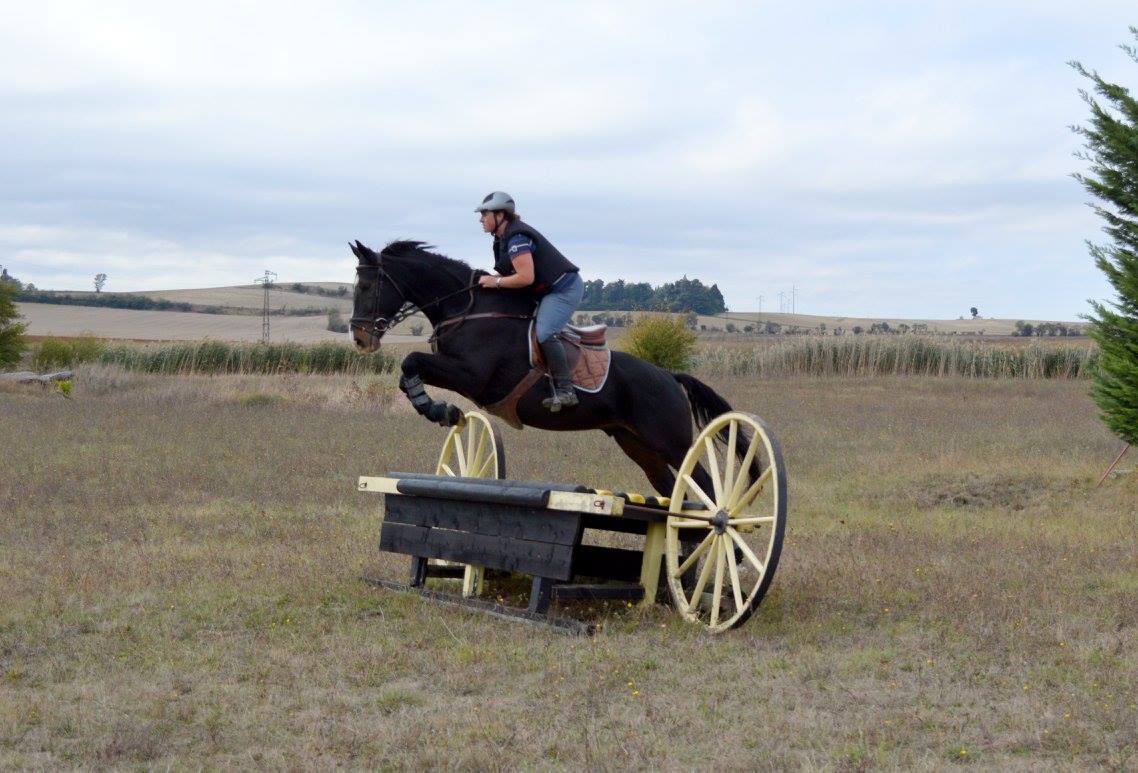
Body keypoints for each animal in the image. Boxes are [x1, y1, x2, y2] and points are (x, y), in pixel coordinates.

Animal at [348, 239, 752, 497]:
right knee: (672, 490)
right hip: (637, 445)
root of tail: (669, 377)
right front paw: (438, 409)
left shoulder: (473, 377)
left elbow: (411, 361)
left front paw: (439, 409)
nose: (360, 338)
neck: (466, 308)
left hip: (671, 442)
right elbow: (408, 371)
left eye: (367, 285)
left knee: (705, 485)